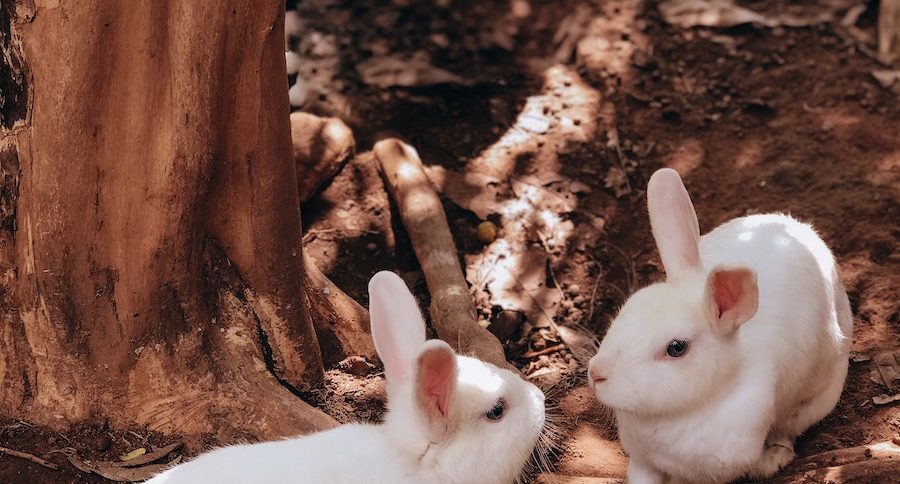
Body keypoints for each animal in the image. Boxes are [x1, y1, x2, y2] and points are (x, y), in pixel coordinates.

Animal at [592, 168, 852, 482]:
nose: (596, 373)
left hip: (815, 399)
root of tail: (802, 229)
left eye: (676, 348)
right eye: (628, 308)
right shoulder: (642, 459)